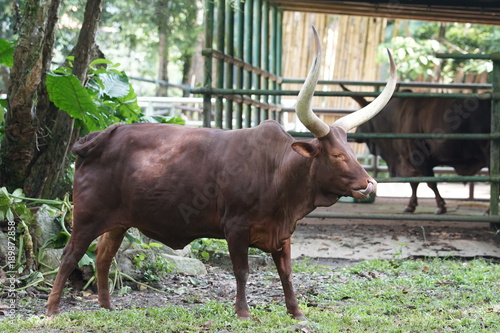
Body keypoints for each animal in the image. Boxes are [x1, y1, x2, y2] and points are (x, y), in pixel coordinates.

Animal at [47, 27, 398, 316]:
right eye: (337, 155)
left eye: (351, 151)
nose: (369, 185)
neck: (277, 172)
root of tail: (102, 135)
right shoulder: (236, 227)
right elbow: (242, 271)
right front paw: (243, 313)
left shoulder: (282, 233)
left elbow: (286, 273)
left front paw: (297, 313)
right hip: (86, 216)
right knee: (69, 255)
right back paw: (52, 310)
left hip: (118, 222)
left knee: (103, 257)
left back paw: (107, 307)